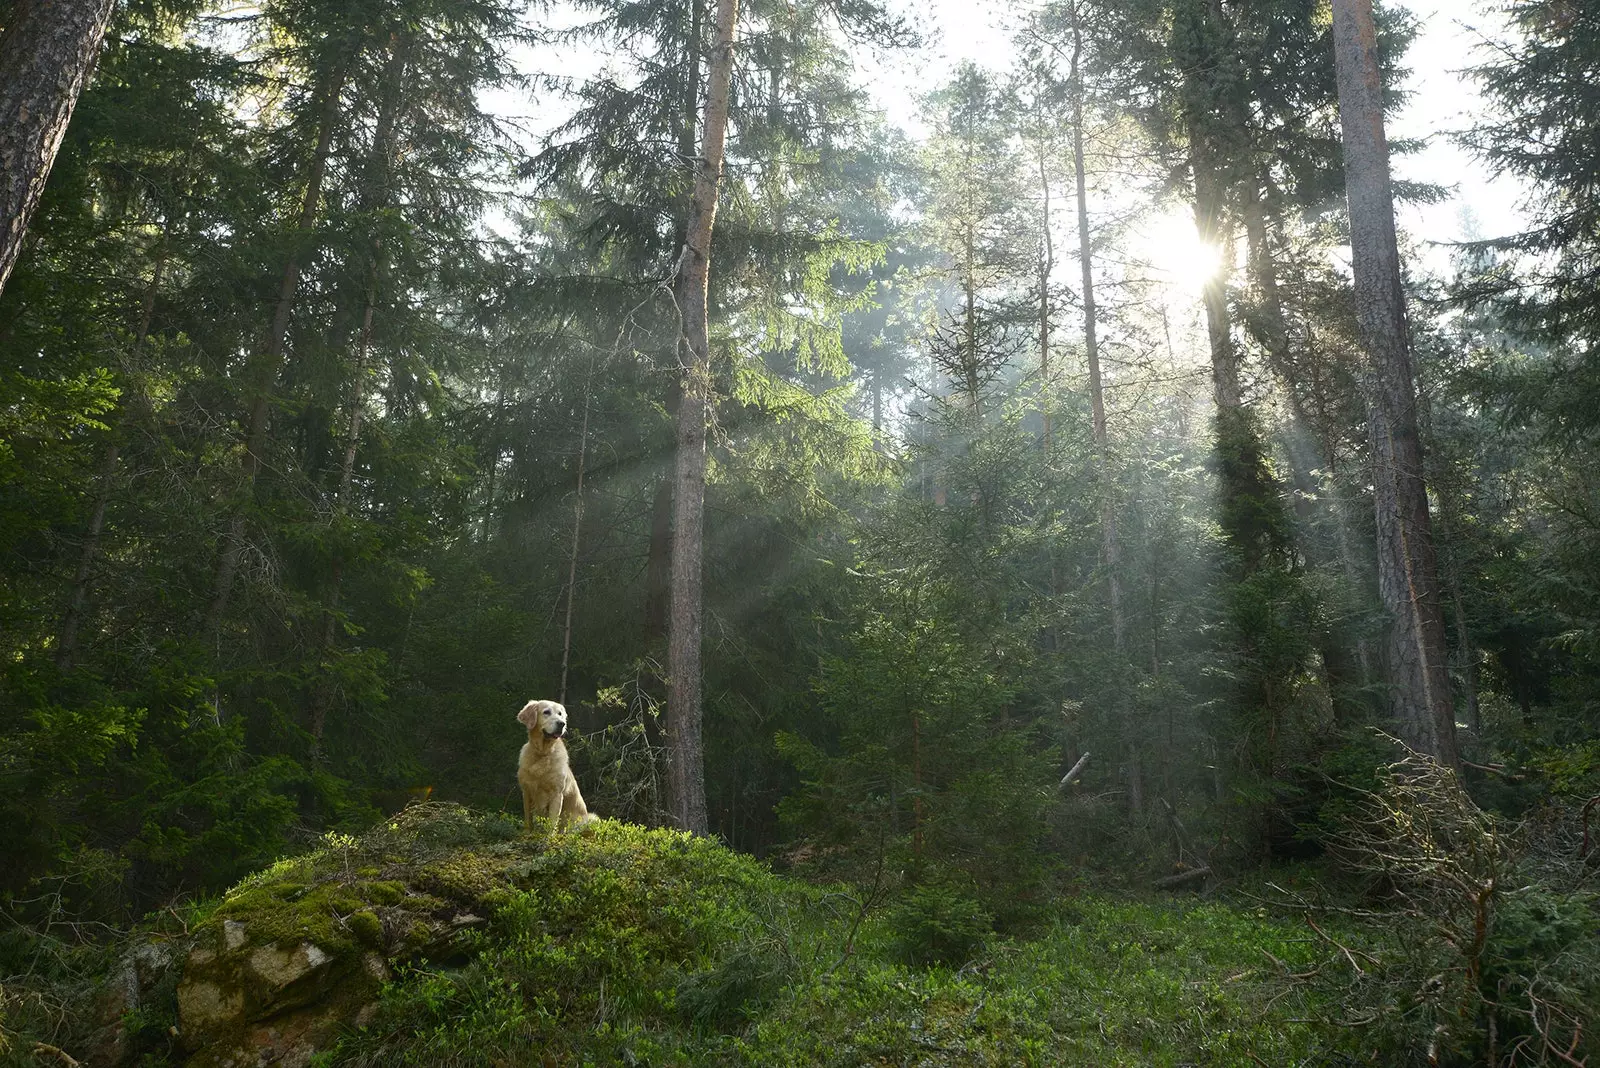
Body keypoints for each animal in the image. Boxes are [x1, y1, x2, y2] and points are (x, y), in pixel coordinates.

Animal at [515, 700, 598, 831]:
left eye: (560, 714)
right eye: (546, 712)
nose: (561, 724)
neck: (542, 753)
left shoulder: (556, 794)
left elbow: (552, 822)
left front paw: (549, 836)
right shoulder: (526, 791)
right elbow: (528, 819)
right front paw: (527, 833)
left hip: (591, 819)